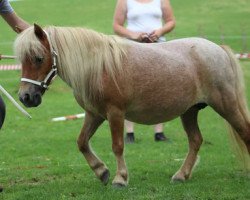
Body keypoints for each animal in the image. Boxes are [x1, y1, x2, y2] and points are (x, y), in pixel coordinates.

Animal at [14, 24, 250, 187]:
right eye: (22, 60)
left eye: (38, 58)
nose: (26, 97)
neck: (99, 67)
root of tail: (218, 49)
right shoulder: (94, 114)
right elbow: (82, 142)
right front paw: (101, 171)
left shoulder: (115, 113)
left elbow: (118, 146)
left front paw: (120, 178)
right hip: (189, 111)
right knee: (195, 140)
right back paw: (181, 175)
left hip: (226, 105)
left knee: (243, 132)